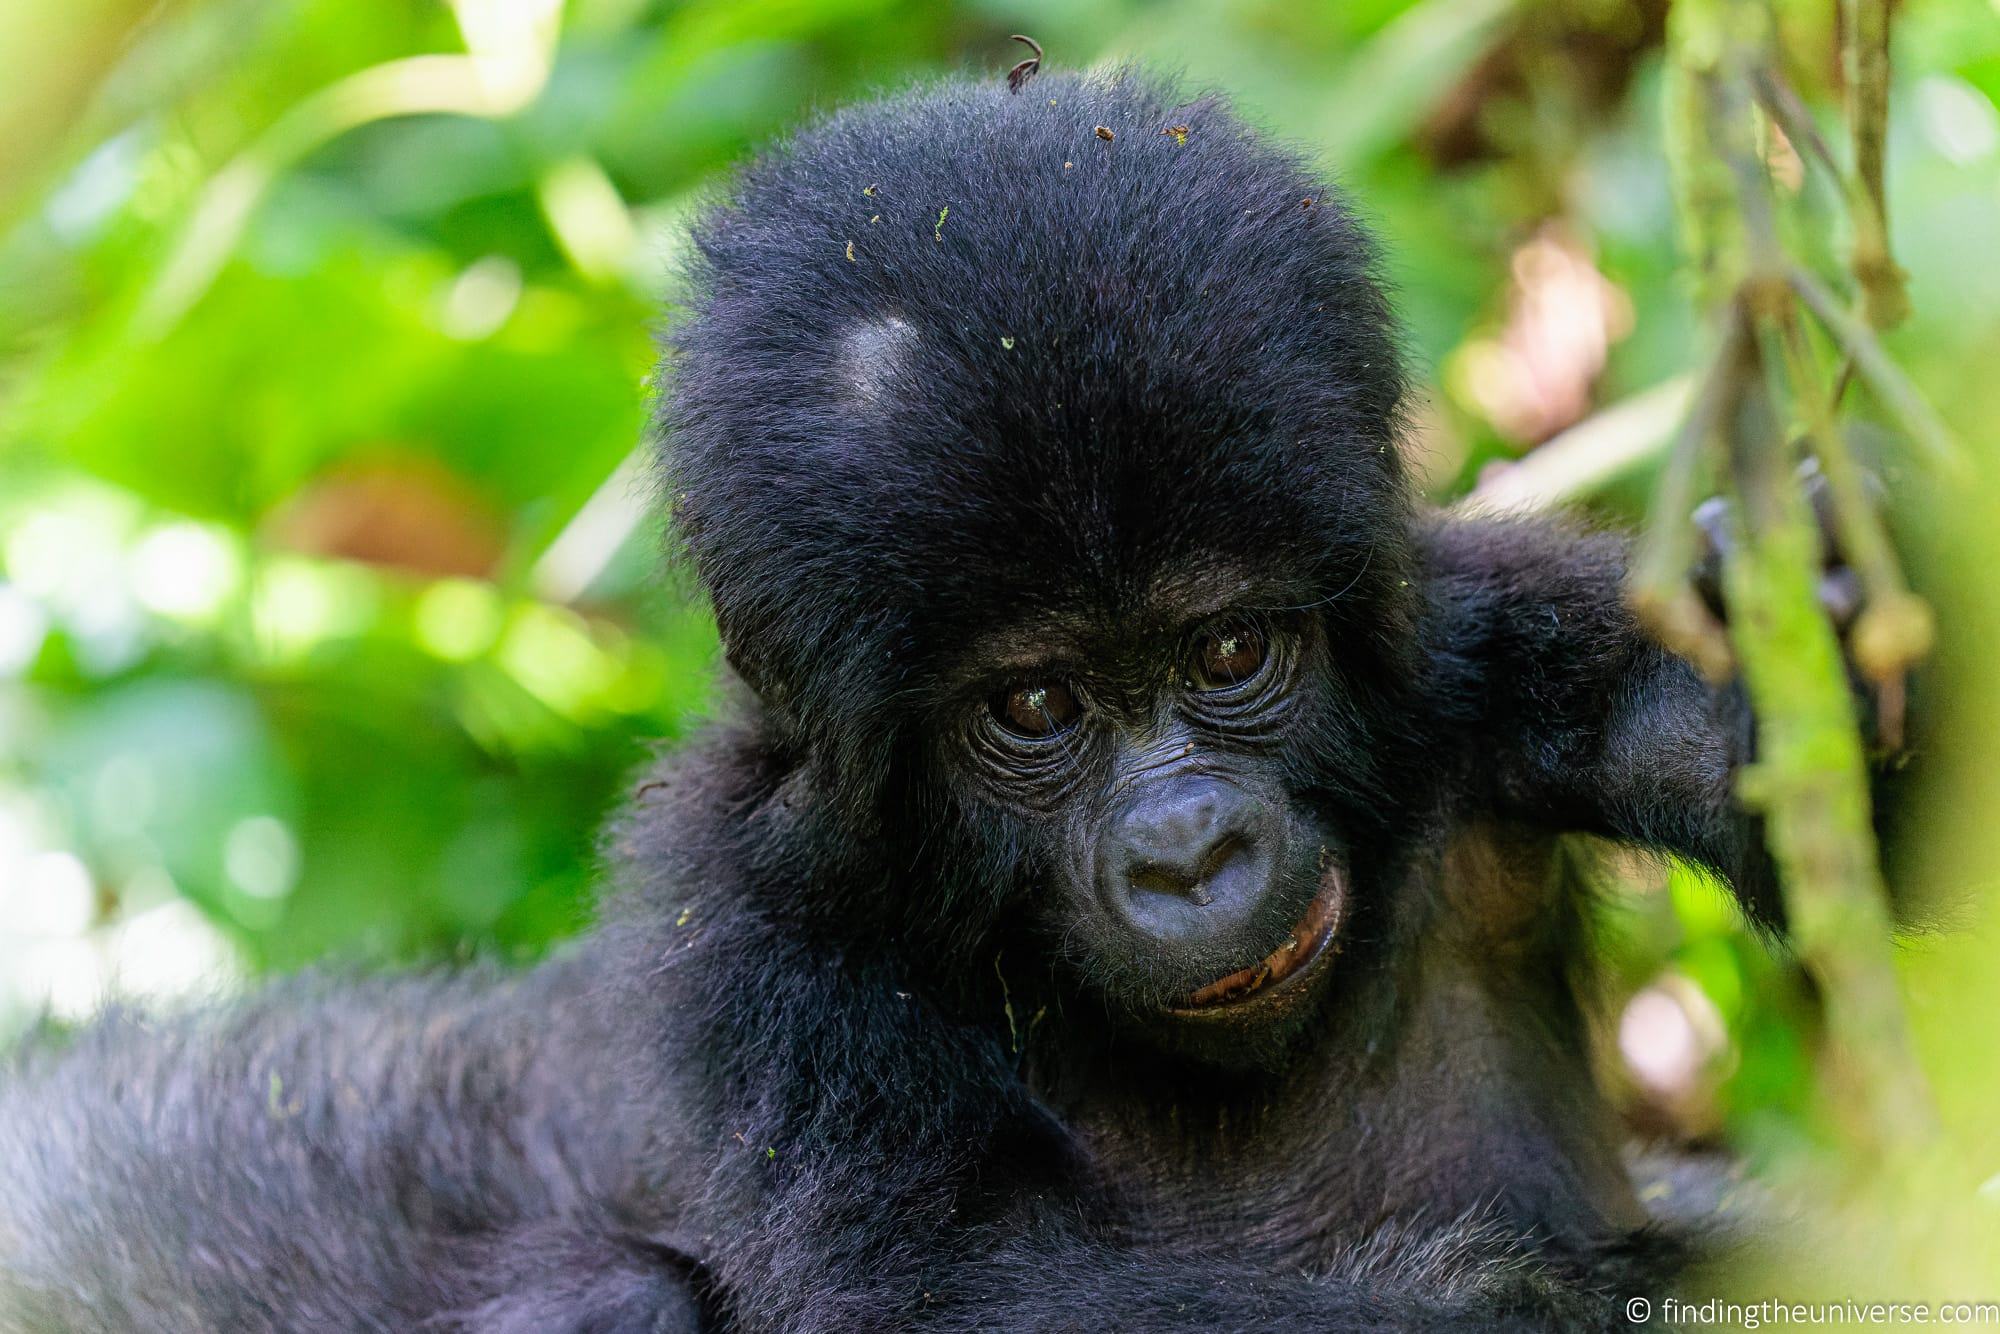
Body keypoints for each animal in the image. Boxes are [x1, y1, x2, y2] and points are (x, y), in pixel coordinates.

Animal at [11, 70, 1832, 1334]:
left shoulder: (1461, 643)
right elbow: (943, 1290)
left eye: (1229, 656)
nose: (1187, 851)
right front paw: (1578, 1287)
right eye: (1032, 704)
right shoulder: (749, 924)